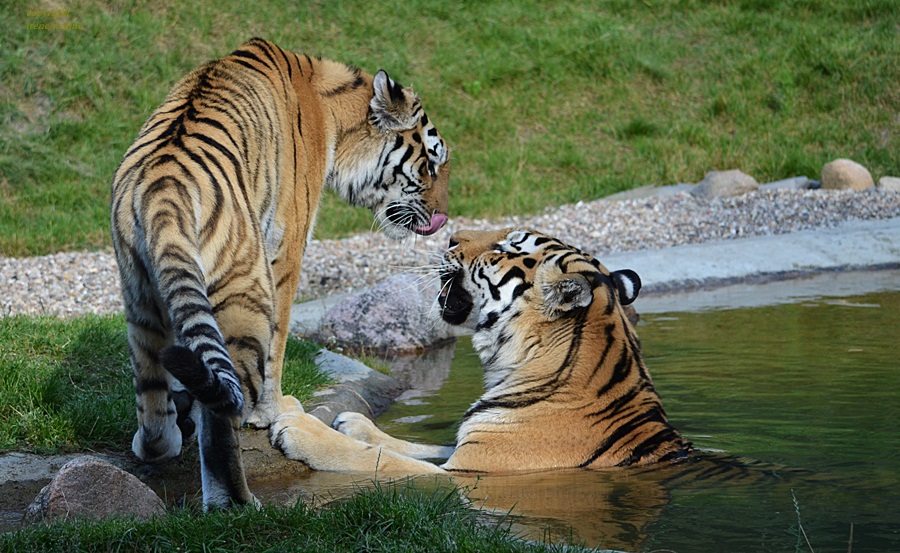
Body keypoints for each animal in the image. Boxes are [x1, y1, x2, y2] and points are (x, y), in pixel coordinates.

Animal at [110, 36, 450, 506]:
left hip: (140, 296)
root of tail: (163, 193)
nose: (443, 214)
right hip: (245, 296)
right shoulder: (286, 251)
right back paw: (235, 503)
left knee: (155, 400)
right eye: (430, 165)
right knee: (225, 411)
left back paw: (162, 441)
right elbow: (279, 344)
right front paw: (273, 412)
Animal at [270, 226, 692, 472]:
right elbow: (420, 445)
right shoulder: (468, 445)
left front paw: (300, 428)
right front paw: (349, 422)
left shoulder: (468, 473)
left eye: (507, 246)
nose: (451, 236)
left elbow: (384, 462)